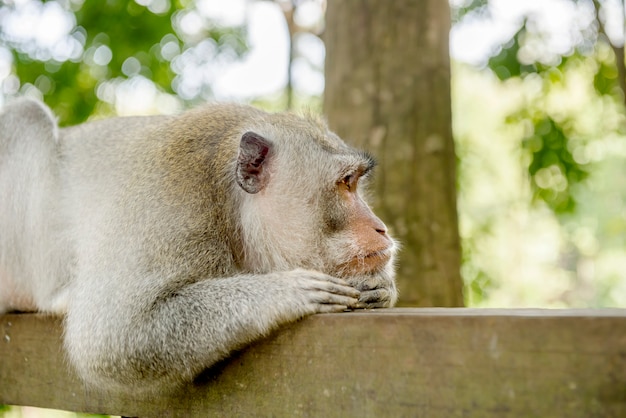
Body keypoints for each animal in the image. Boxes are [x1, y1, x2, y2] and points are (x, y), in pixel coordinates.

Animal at [0, 98, 398, 392]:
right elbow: (110, 339)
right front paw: (286, 290)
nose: (381, 228)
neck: (231, 207)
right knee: (25, 115)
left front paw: (380, 286)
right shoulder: (170, 208)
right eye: (346, 183)